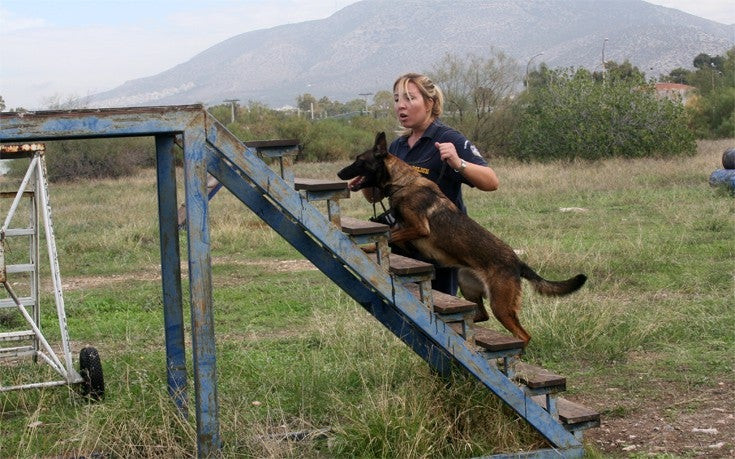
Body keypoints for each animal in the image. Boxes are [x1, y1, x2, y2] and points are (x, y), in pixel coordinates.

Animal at [338, 132, 588, 344]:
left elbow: (390, 233)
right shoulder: (406, 229)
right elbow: (390, 235)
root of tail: (518, 262)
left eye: (359, 161)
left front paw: (370, 246)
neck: (403, 183)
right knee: (480, 314)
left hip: (501, 305)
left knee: (523, 335)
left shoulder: (419, 228)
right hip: (466, 283)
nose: (339, 174)